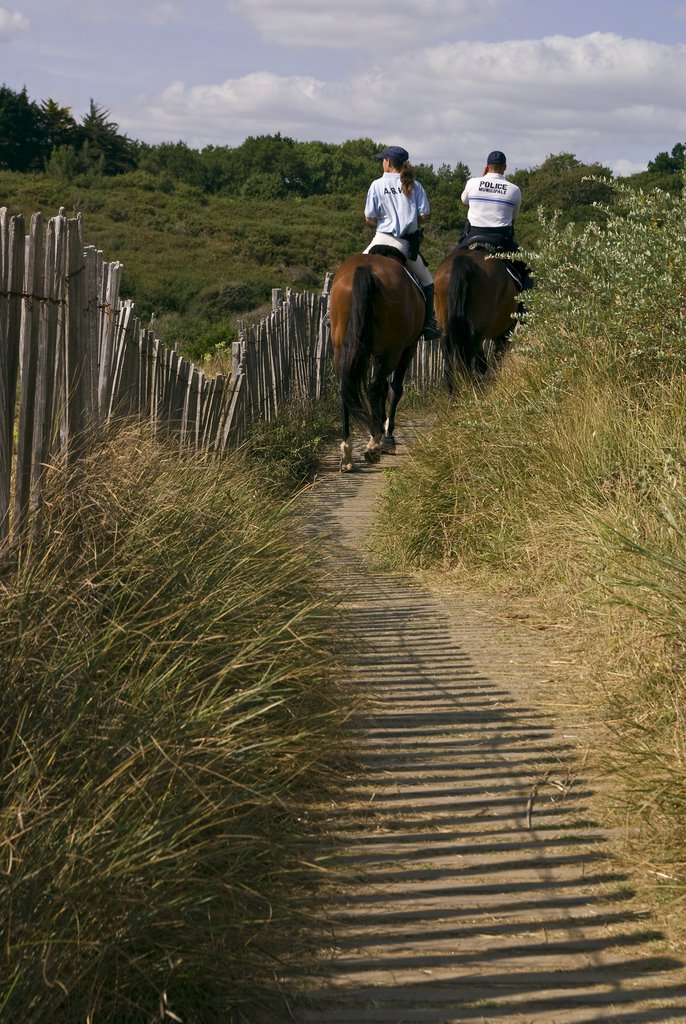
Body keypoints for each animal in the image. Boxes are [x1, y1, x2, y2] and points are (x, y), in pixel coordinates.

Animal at [329, 253, 427, 468]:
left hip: (342, 345)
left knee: (345, 387)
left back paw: (347, 452)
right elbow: (393, 388)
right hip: (394, 350)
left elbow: (382, 388)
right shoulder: (407, 348)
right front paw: (387, 436)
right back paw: (373, 445)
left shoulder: (375, 353)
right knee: (376, 385)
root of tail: (365, 268)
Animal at [438, 247, 518, 391]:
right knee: (473, 360)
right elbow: (496, 356)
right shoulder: (505, 330)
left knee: (450, 364)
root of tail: (465, 259)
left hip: (446, 329)